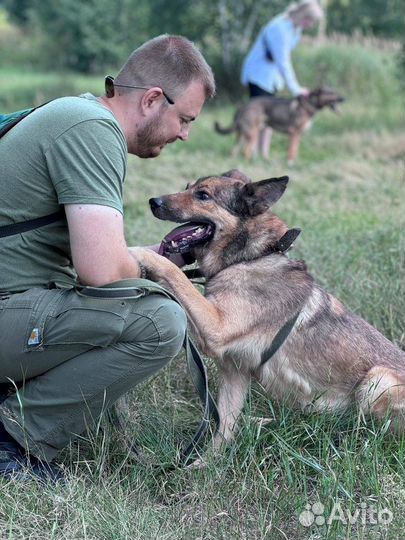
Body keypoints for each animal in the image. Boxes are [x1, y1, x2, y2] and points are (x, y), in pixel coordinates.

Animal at [131, 169, 402, 448]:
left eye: (203, 195)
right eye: (187, 187)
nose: (153, 202)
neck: (251, 257)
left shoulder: (217, 328)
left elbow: (174, 272)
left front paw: (138, 252)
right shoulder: (234, 369)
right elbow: (224, 425)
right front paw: (207, 458)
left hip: (378, 380)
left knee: (364, 433)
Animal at [213, 87, 342, 163]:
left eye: (335, 92)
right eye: (331, 93)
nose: (343, 98)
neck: (309, 104)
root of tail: (243, 106)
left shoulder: (298, 135)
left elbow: (295, 150)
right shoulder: (294, 133)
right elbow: (292, 150)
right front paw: (290, 162)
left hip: (243, 135)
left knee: (234, 151)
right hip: (252, 134)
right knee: (246, 151)